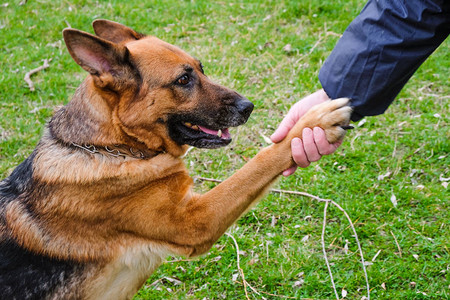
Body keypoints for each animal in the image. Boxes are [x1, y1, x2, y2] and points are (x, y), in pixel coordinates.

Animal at [0, 19, 352, 298]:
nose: (248, 107)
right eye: (183, 80)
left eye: (201, 69)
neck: (110, 146)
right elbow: (258, 163)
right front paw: (315, 121)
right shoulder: (195, 221)